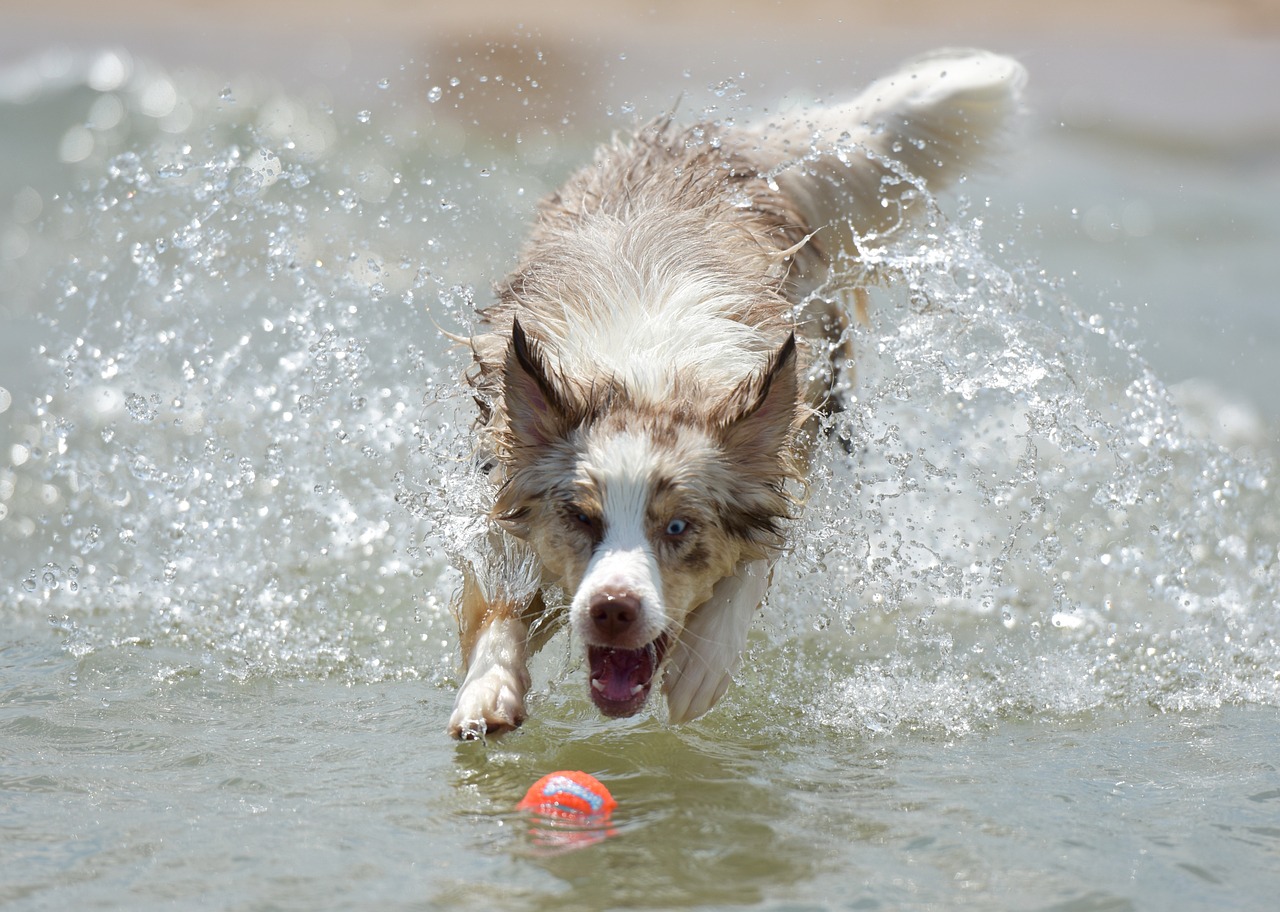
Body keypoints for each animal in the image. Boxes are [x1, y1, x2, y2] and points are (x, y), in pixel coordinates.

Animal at [445, 48, 1024, 742]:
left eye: (677, 526)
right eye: (583, 519)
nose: (612, 608)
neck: (647, 378)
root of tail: (720, 143)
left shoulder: (787, 448)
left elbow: (755, 560)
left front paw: (702, 667)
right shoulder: (505, 477)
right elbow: (498, 597)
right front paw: (487, 689)